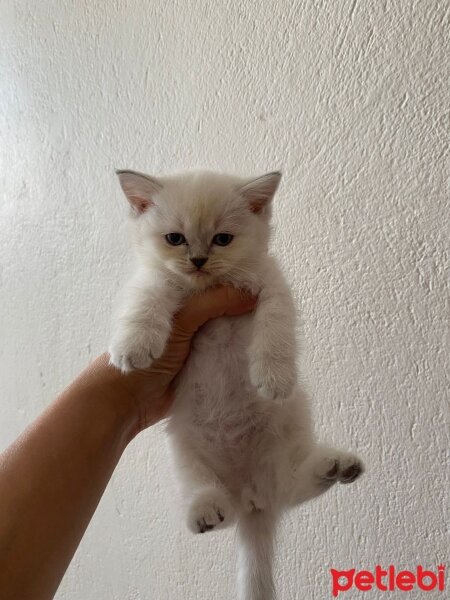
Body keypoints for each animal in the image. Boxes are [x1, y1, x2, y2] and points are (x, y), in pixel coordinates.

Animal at [110, 169, 364, 600]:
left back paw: (337, 466)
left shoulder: (272, 288)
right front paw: (134, 348)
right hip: (185, 452)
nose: (198, 260)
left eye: (222, 239)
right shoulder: (156, 282)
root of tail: (250, 501)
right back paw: (205, 512)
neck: (207, 289)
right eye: (175, 238)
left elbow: (275, 332)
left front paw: (274, 378)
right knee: (213, 500)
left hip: (288, 432)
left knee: (291, 486)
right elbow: (146, 303)